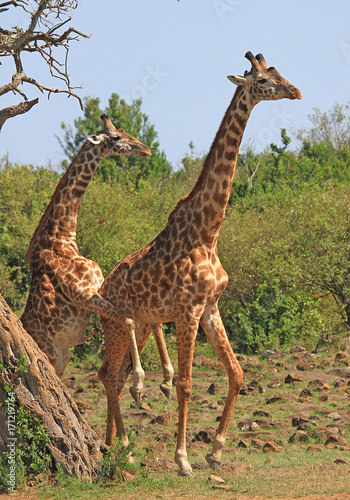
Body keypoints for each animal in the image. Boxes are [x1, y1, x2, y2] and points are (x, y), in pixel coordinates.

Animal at [20, 114, 153, 378]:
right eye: (116, 137)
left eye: (125, 130)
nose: (146, 149)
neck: (63, 238)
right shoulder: (85, 296)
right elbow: (128, 319)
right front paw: (138, 377)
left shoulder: (99, 288)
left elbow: (130, 317)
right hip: (49, 350)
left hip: (64, 354)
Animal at [98, 51, 300, 476]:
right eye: (261, 81)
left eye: (279, 72)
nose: (296, 91)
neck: (209, 232)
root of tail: (103, 287)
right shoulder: (188, 310)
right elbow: (186, 384)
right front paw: (183, 459)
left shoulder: (211, 307)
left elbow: (237, 373)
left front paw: (217, 450)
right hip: (117, 325)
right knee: (108, 375)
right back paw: (118, 448)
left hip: (142, 324)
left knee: (115, 376)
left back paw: (112, 445)